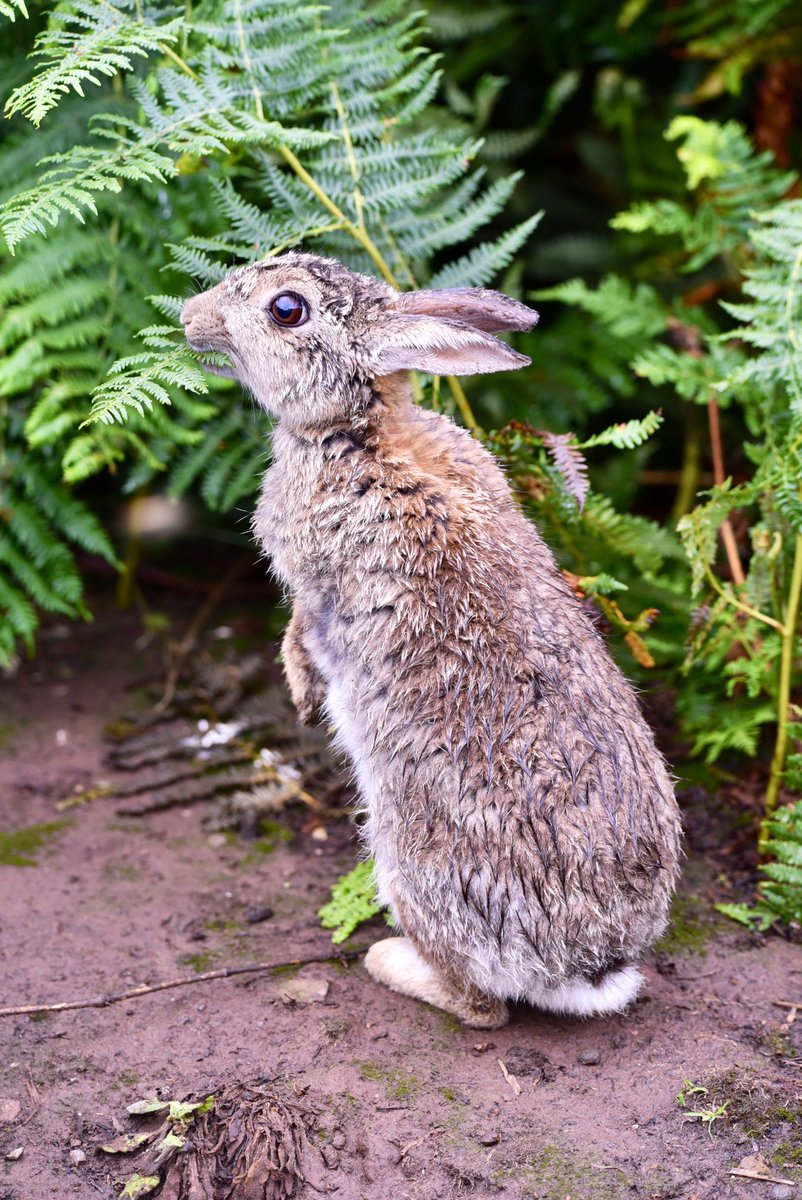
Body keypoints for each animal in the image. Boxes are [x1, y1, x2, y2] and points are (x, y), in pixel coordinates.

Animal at [183, 253, 681, 1032]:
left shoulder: (311, 581)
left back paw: (389, 961)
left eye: (286, 309)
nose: (189, 317)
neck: (360, 428)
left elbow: (301, 627)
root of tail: (594, 964)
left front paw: (299, 688)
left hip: (411, 861)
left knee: (482, 1006)